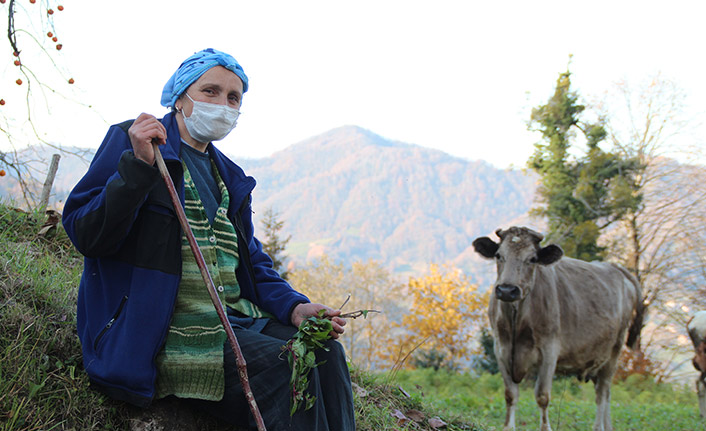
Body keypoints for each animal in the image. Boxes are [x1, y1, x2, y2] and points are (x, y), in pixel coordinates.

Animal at [472, 226, 644, 431]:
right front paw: (508, 427)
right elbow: (510, 394)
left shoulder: (549, 350)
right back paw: (607, 426)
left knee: (602, 392)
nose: (507, 290)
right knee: (606, 392)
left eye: (532, 259)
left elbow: (542, 396)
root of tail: (616, 268)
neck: (517, 320)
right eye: (498, 255)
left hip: (614, 351)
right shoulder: (501, 349)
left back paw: (598, 427)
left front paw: (545, 428)